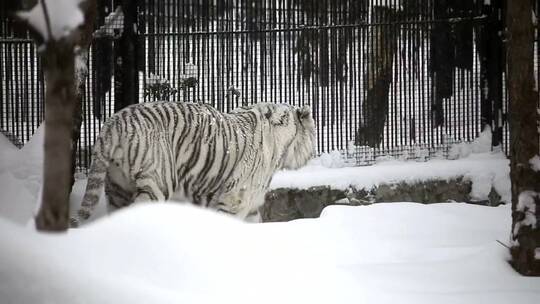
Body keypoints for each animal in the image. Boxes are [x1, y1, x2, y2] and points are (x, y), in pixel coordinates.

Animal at [71, 101, 316, 226]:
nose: (313, 151)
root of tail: (114, 123)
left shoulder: (252, 205)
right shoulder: (236, 197)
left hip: (117, 187)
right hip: (157, 183)